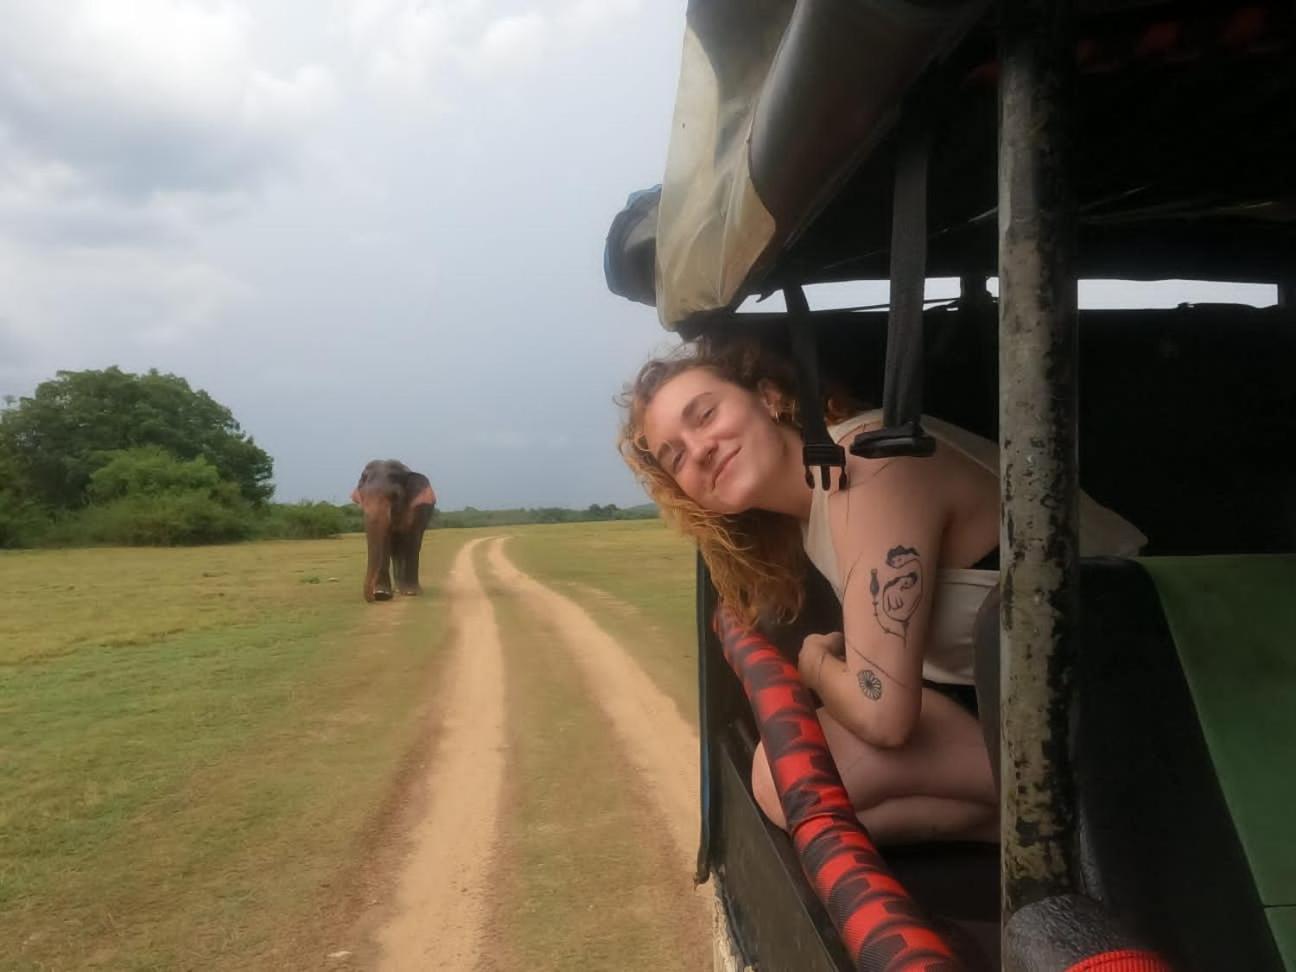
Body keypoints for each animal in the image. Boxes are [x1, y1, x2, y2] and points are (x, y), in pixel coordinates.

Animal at [349, 461, 440, 606]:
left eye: (394, 496)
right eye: (362, 497)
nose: (372, 598)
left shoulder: (416, 510)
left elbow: (411, 540)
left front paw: (410, 593)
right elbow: (386, 541)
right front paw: (382, 594)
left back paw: (405, 590)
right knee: (396, 551)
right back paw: (397, 589)